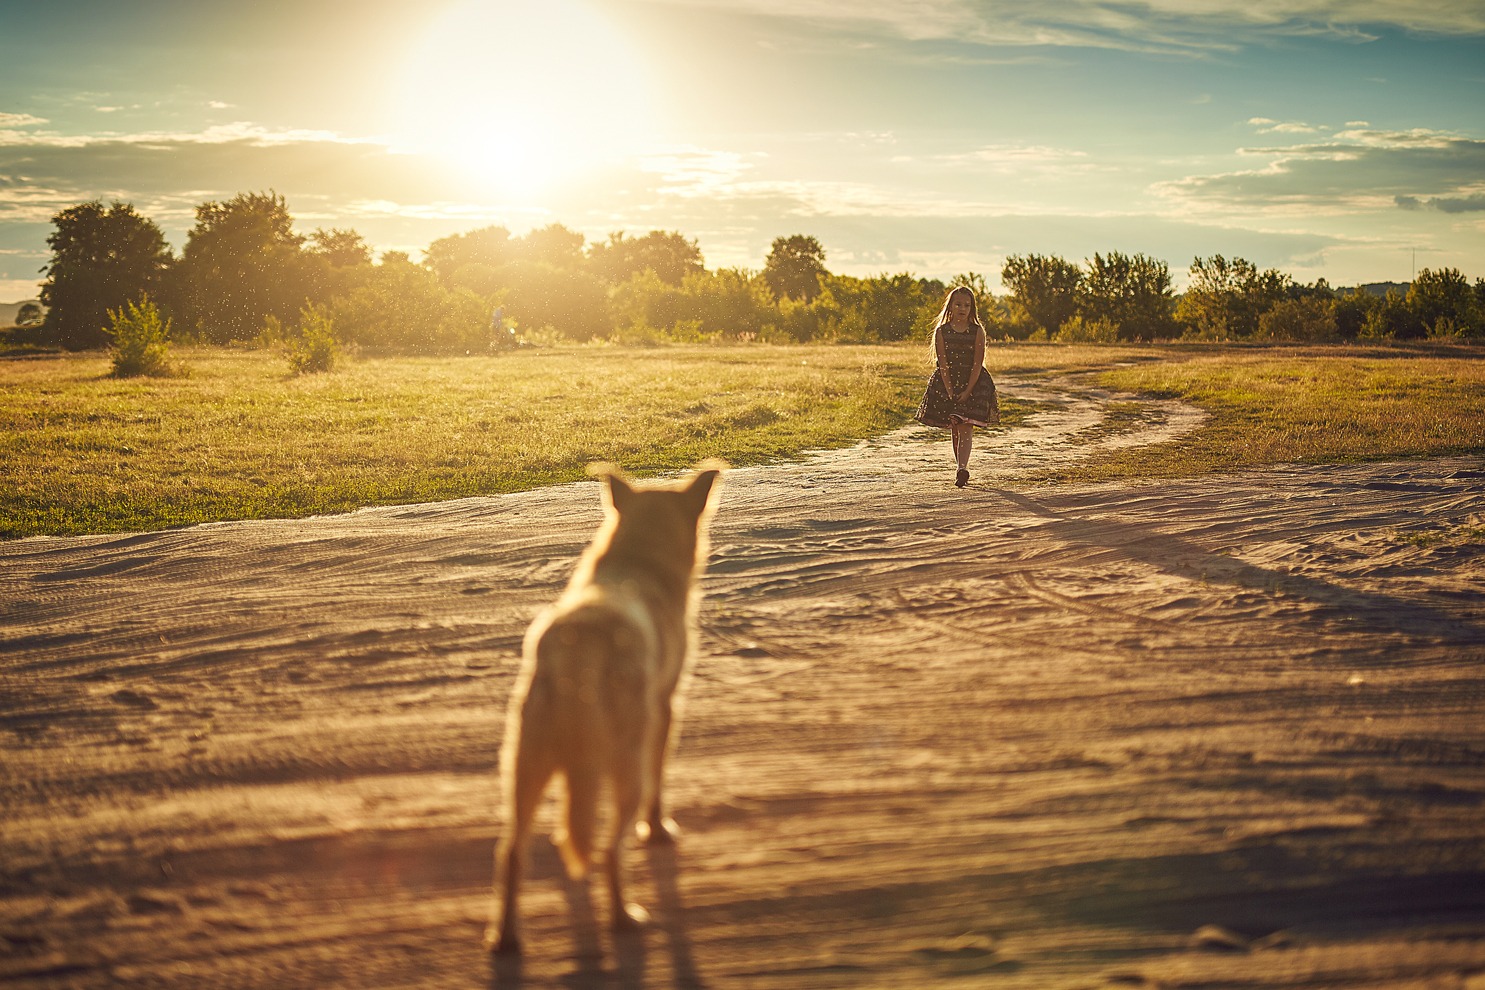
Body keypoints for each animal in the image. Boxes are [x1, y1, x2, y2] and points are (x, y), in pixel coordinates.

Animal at [484, 460, 721, 955]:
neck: (635, 562)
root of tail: (578, 649)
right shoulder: (666, 709)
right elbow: (660, 779)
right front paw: (659, 829)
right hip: (623, 764)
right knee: (612, 848)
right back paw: (624, 918)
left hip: (524, 765)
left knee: (512, 850)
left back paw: (506, 937)